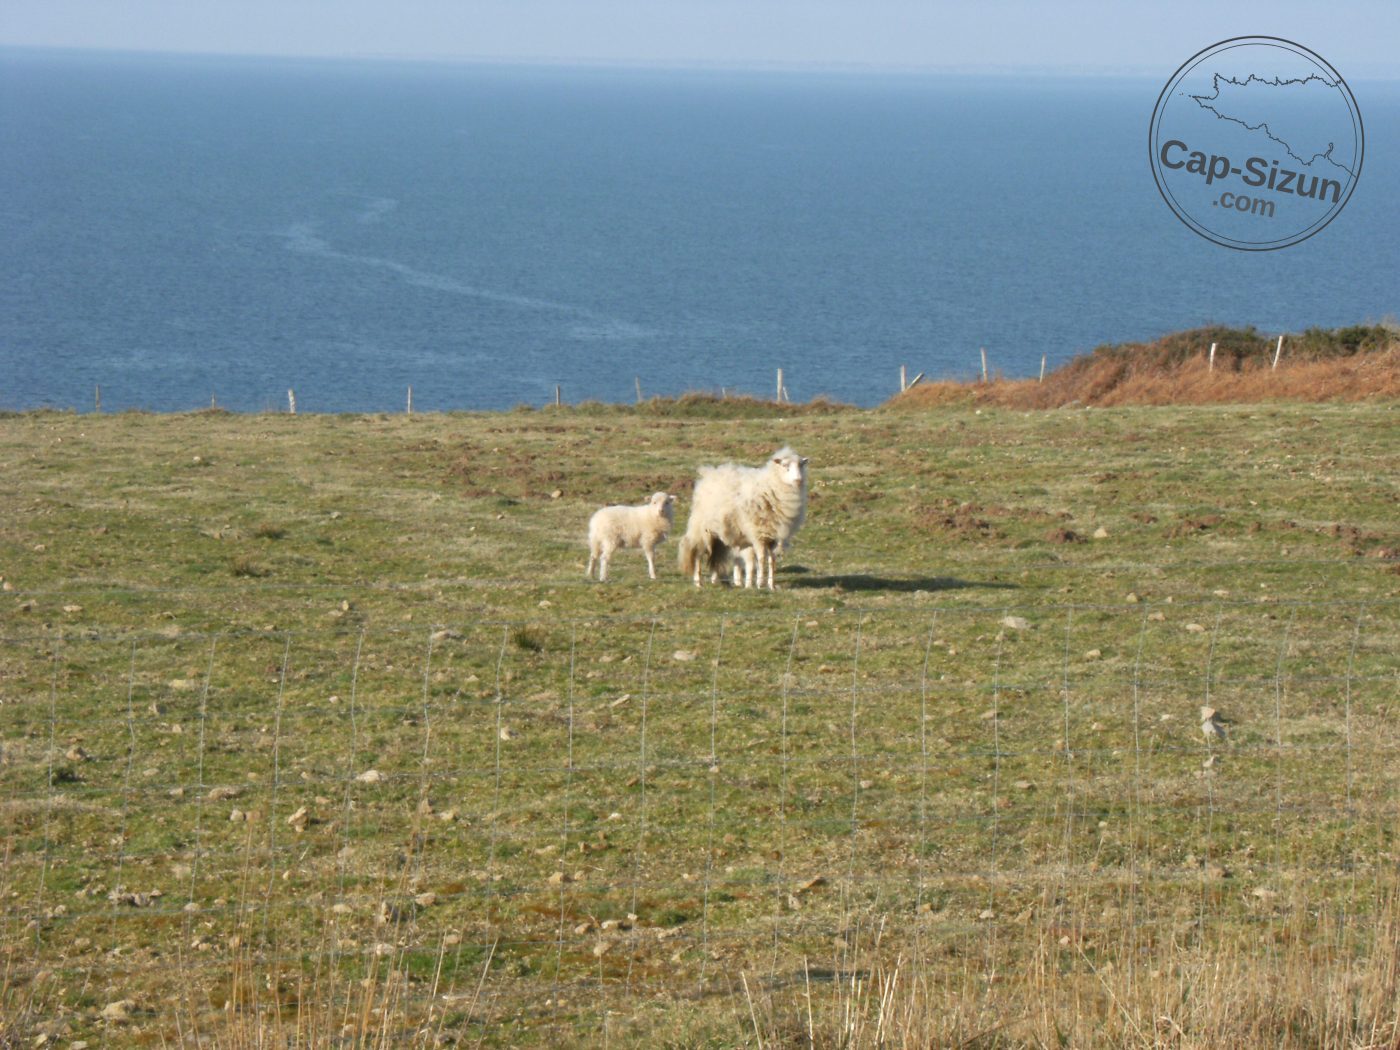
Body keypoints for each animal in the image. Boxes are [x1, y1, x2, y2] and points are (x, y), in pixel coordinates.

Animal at [678, 447, 808, 591]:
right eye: (785, 466)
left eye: (801, 465)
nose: (798, 480)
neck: (771, 487)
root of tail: (709, 474)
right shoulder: (758, 535)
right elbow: (761, 558)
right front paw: (760, 583)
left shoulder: (773, 538)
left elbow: (772, 560)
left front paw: (771, 585)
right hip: (703, 530)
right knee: (698, 554)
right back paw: (698, 582)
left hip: (719, 534)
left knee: (716, 555)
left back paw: (715, 581)